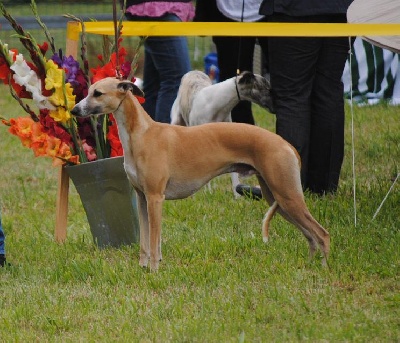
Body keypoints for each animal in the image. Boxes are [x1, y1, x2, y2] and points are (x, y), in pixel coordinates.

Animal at [70, 77, 330, 272]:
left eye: (97, 93)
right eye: (89, 91)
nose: (74, 110)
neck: (142, 134)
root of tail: (287, 145)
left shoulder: (155, 198)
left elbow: (154, 240)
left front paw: (153, 270)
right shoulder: (142, 198)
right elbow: (144, 240)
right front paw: (143, 267)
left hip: (287, 195)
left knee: (322, 234)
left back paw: (324, 268)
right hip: (277, 197)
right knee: (310, 236)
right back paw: (309, 266)